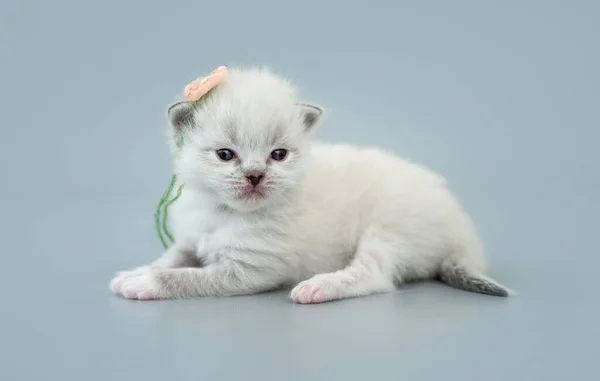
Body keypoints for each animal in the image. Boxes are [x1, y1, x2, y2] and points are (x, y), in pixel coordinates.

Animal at [109, 66, 510, 302]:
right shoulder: (191, 239)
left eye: (278, 155)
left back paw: (317, 287)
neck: (222, 212)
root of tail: (462, 235)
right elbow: (170, 259)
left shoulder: (251, 271)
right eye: (225, 155)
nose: (255, 175)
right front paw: (136, 272)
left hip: (389, 232)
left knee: (376, 276)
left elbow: (188, 277)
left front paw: (146, 284)